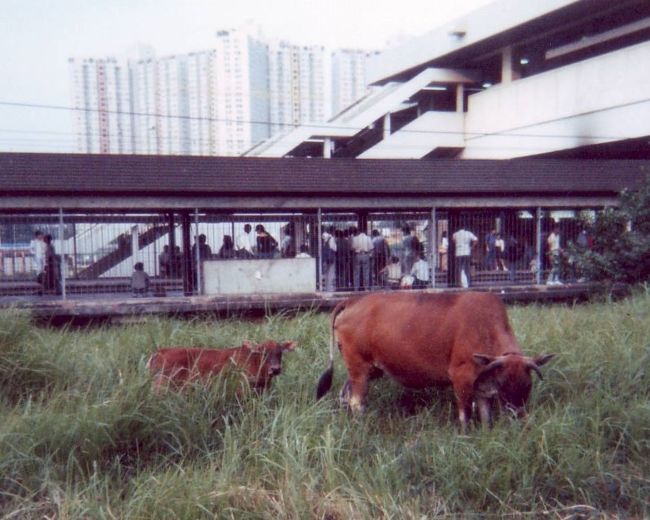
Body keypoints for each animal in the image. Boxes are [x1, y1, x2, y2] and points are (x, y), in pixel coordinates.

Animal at [314, 290, 552, 428]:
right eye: (503, 385)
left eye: (528, 385)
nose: (518, 417)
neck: (485, 327)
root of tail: (352, 300)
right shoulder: (461, 378)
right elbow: (465, 416)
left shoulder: (482, 388)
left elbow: (486, 419)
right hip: (359, 368)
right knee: (356, 401)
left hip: (369, 370)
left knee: (345, 394)